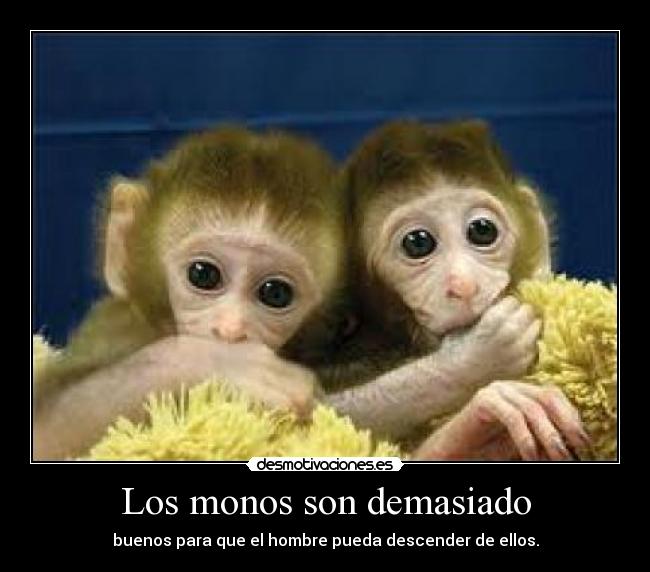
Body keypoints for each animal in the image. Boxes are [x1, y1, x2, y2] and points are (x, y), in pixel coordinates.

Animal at [33, 126, 349, 461]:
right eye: (203, 275)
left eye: (275, 293)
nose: (230, 331)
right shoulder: (114, 329)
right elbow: (48, 426)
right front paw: (222, 363)